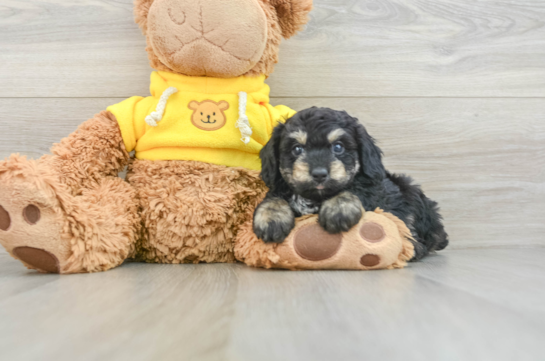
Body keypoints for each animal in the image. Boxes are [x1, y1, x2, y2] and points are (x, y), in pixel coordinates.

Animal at [253, 105, 448, 260]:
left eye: (338, 147)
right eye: (297, 149)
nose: (319, 174)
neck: (315, 197)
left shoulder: (371, 190)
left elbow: (352, 190)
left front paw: (338, 209)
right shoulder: (280, 187)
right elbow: (274, 197)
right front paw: (271, 219)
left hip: (409, 192)